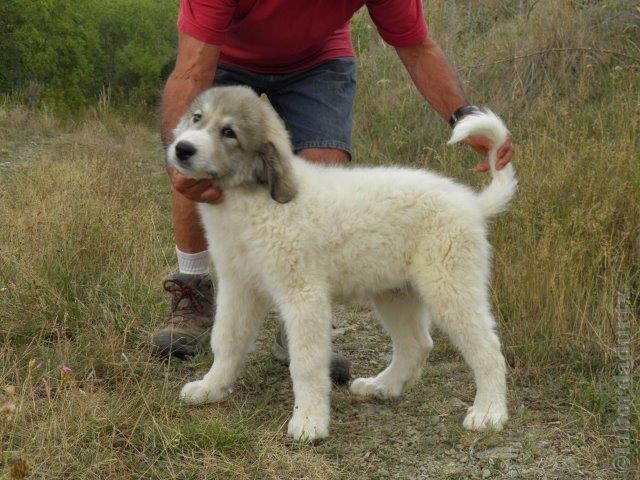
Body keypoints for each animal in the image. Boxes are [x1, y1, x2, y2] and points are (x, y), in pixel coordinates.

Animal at [168, 85, 516, 438]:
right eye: (197, 118)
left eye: (229, 132)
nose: (182, 149)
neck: (252, 198)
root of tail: (472, 203)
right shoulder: (239, 285)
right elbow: (226, 339)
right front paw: (212, 387)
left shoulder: (303, 294)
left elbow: (306, 362)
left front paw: (309, 419)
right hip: (395, 292)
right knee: (417, 344)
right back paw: (382, 386)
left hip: (449, 286)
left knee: (488, 350)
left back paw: (489, 412)